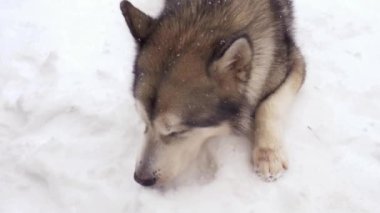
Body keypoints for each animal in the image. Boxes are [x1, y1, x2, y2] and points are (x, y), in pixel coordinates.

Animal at [120, 0, 308, 186]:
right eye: (144, 121)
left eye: (177, 132)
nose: (141, 179)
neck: (207, 13)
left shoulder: (294, 60)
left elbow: (269, 105)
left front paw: (268, 153)